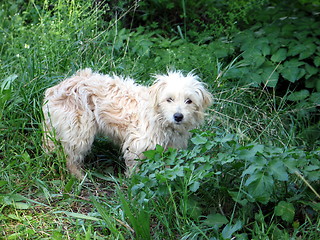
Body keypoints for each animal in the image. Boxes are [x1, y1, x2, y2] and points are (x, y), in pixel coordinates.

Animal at [42, 68, 212, 178]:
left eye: (189, 101)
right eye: (169, 99)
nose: (178, 116)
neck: (159, 118)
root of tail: (55, 89)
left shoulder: (170, 150)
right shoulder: (138, 146)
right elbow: (135, 169)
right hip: (79, 132)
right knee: (70, 157)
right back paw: (78, 176)